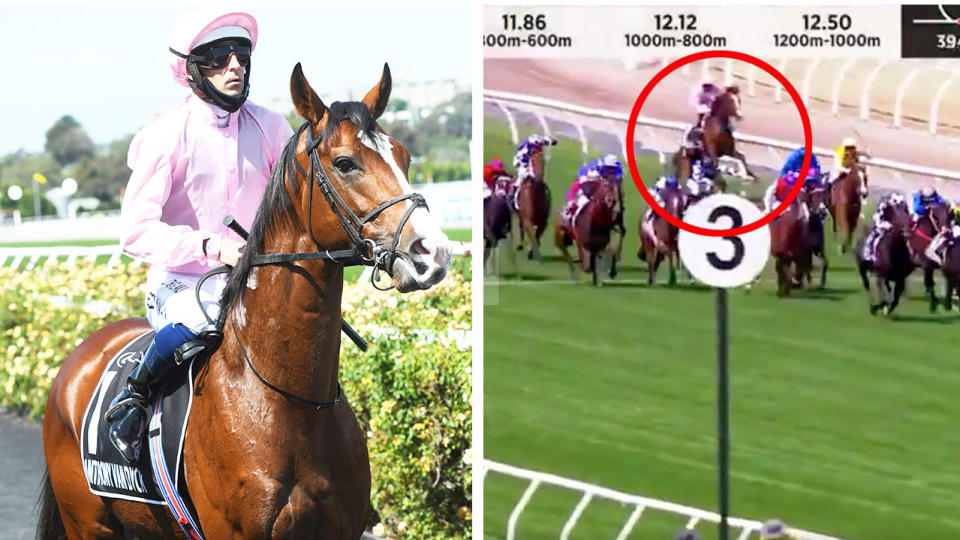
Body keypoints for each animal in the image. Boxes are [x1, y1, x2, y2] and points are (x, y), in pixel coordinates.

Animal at [38, 64, 454, 540]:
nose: (432, 252)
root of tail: (78, 359)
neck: (292, 405)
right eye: (345, 163)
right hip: (87, 523)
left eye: (404, 157)